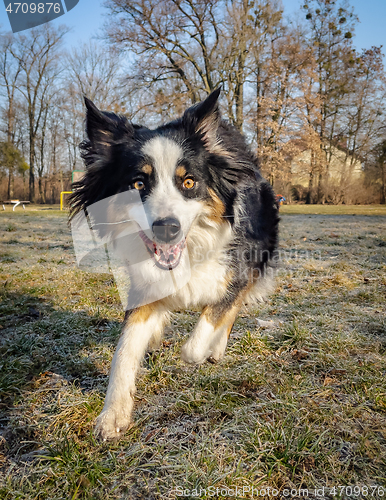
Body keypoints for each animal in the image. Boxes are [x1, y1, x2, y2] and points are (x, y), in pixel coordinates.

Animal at [69, 88, 278, 440]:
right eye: (138, 184)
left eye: (189, 182)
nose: (167, 227)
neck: (189, 252)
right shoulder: (143, 288)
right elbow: (125, 350)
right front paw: (113, 415)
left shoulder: (235, 271)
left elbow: (202, 333)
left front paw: (202, 349)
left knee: (232, 308)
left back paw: (216, 348)